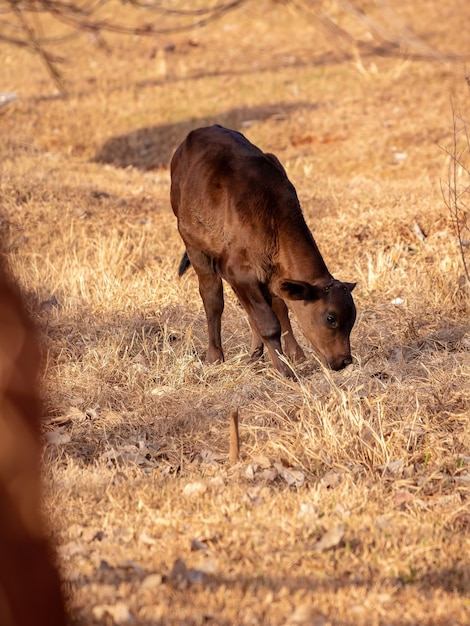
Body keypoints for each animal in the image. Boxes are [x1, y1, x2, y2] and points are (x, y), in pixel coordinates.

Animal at [171, 124, 354, 372]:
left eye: (352, 320)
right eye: (330, 318)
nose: (344, 360)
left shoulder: (271, 274)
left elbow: (278, 308)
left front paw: (293, 356)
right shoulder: (238, 272)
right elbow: (267, 322)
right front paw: (284, 370)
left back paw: (256, 356)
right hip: (194, 245)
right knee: (212, 298)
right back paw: (215, 356)